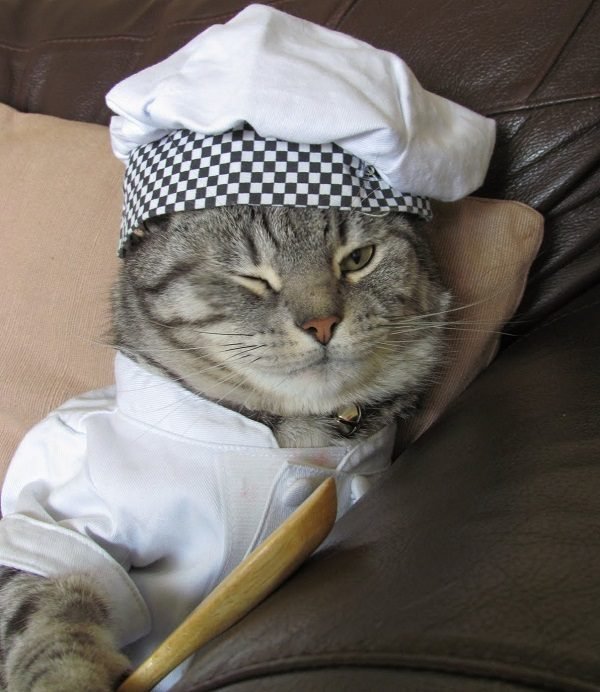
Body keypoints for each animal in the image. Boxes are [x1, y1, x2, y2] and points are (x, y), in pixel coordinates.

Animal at [0, 206, 450, 692]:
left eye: (358, 258)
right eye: (252, 277)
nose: (322, 324)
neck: (297, 433)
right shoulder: (57, 518)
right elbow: (45, 615)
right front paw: (69, 678)